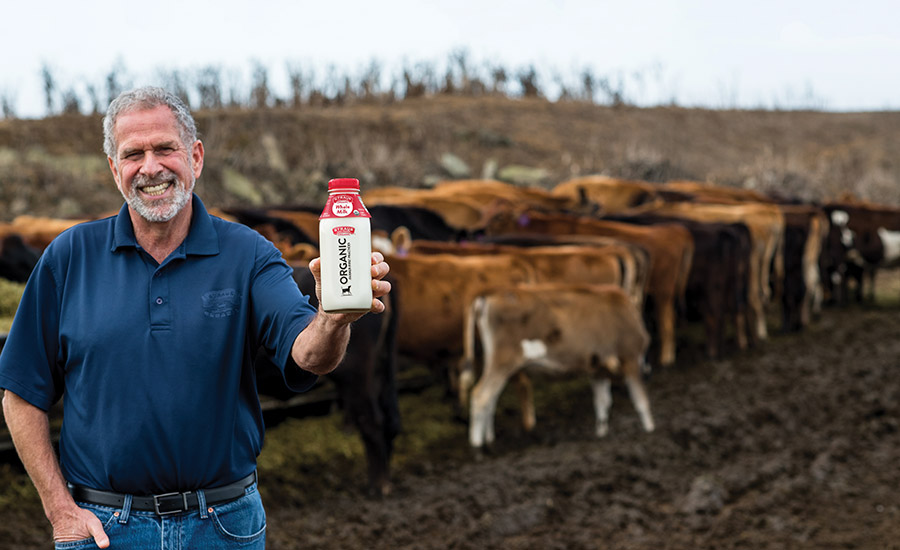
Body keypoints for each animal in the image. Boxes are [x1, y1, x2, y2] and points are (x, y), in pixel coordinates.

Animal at [464, 282, 652, 450]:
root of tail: (491, 292)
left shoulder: (598, 368)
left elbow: (603, 402)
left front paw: (601, 433)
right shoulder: (630, 356)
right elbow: (641, 399)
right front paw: (650, 430)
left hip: (498, 363)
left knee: (492, 398)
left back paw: (490, 440)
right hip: (503, 360)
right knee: (481, 396)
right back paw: (477, 447)